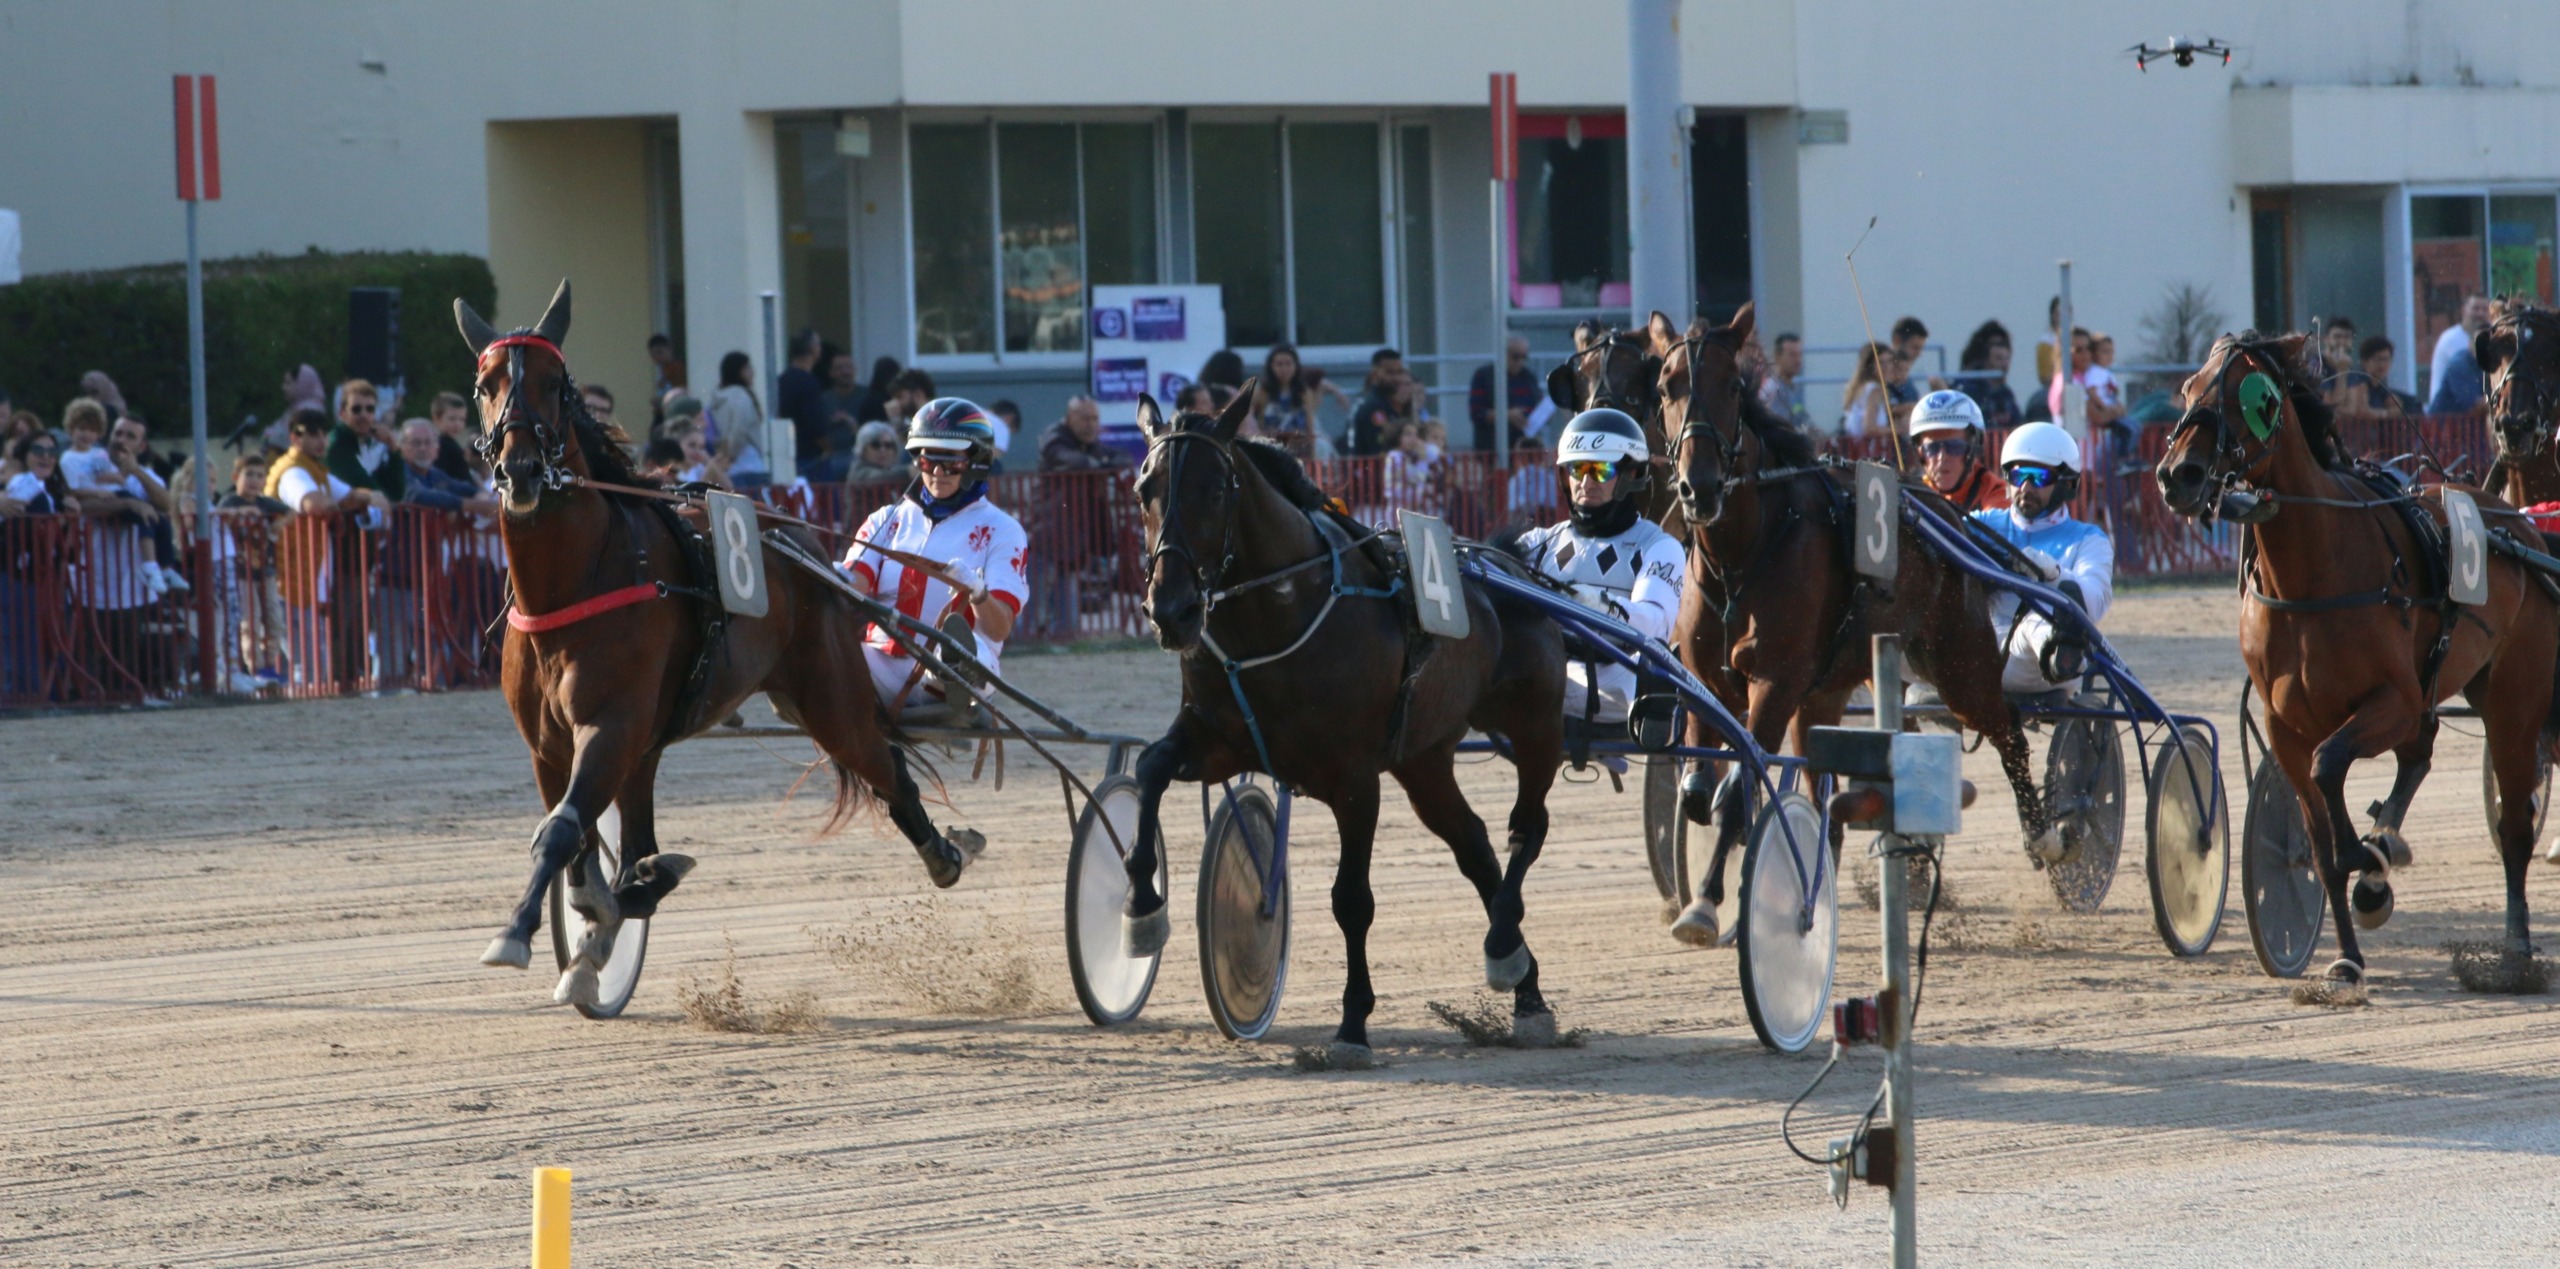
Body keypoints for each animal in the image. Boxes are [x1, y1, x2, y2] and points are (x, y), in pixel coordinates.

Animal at [459, 280, 985, 1007]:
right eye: (485, 385)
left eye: (553, 384)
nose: (522, 470)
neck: (574, 584)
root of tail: (802, 545)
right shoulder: (551, 743)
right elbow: (577, 842)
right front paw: (596, 922)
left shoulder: (611, 725)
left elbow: (561, 829)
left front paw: (515, 932)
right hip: (660, 739)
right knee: (640, 834)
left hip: (831, 700)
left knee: (889, 768)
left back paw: (945, 852)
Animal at [1117, 386, 1567, 1062]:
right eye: (1144, 487)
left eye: (1216, 490)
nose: (1170, 610)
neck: (1279, 613)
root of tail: (1507, 565)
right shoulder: (1219, 737)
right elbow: (1149, 769)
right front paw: (1142, 909)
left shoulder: (1355, 780)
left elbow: (1352, 900)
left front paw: (1353, 1023)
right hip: (1424, 757)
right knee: (1474, 845)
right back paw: (1523, 981)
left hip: (1537, 724)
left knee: (1525, 830)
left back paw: (1505, 951)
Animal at [1657, 302, 2057, 943]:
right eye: (1665, 385)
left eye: (1734, 385)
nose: (1701, 487)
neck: (1741, 555)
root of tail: (1944, 511)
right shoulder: (1710, 682)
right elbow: (1701, 792)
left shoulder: (1774, 684)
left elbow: (1738, 789)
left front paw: (1704, 905)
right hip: (1831, 688)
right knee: (1833, 787)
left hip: (1959, 664)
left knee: (2007, 729)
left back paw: (2043, 836)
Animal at [2155, 331, 2560, 985]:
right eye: (2188, 388)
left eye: (2251, 395)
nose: (2178, 475)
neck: (2312, 572)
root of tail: (2519, 529)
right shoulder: (2285, 726)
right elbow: (2319, 839)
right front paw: (2347, 949)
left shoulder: (2389, 701)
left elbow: (2331, 765)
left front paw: (2367, 862)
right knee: (2419, 756)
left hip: (2512, 702)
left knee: (2515, 823)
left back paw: (2516, 945)